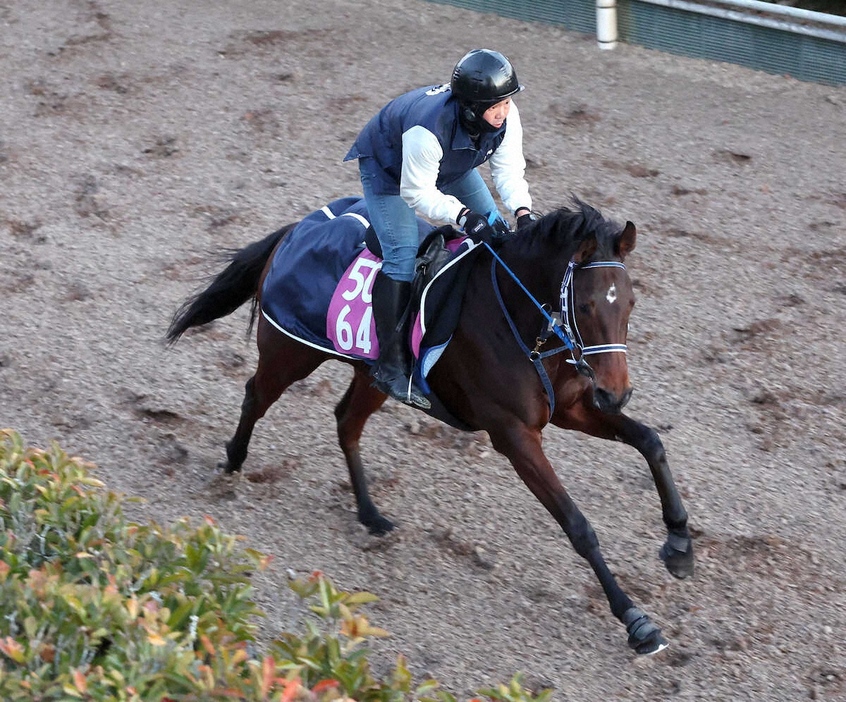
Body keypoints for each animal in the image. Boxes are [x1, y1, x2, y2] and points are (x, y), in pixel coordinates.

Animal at [166, 197, 696, 656]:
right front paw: (635, 619)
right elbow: (578, 524)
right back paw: (233, 462)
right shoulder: (514, 434)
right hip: (289, 352)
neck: (521, 318)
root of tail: (296, 228)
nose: (616, 392)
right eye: (585, 306)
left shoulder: (570, 409)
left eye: (629, 303)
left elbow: (651, 441)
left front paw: (679, 545)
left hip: (372, 374)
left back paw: (370, 514)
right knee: (257, 395)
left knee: (346, 422)